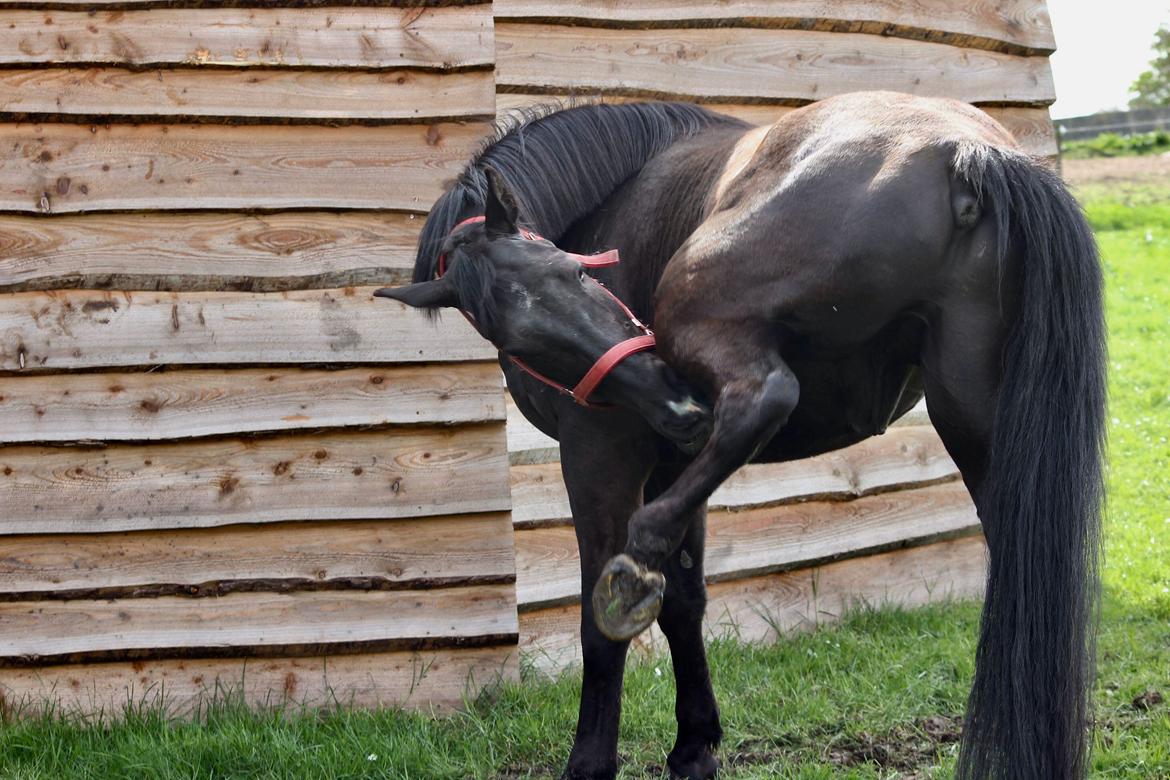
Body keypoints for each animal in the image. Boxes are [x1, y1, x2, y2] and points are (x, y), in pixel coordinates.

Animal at [376, 92, 1104, 780]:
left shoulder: (600, 455)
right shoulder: (674, 464)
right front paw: (694, 745)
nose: (678, 402)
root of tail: (966, 152)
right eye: (519, 339)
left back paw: (637, 557)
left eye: (575, 271)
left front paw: (592, 759)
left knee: (766, 396)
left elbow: (598, 622)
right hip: (977, 419)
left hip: (700, 314)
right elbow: (686, 602)